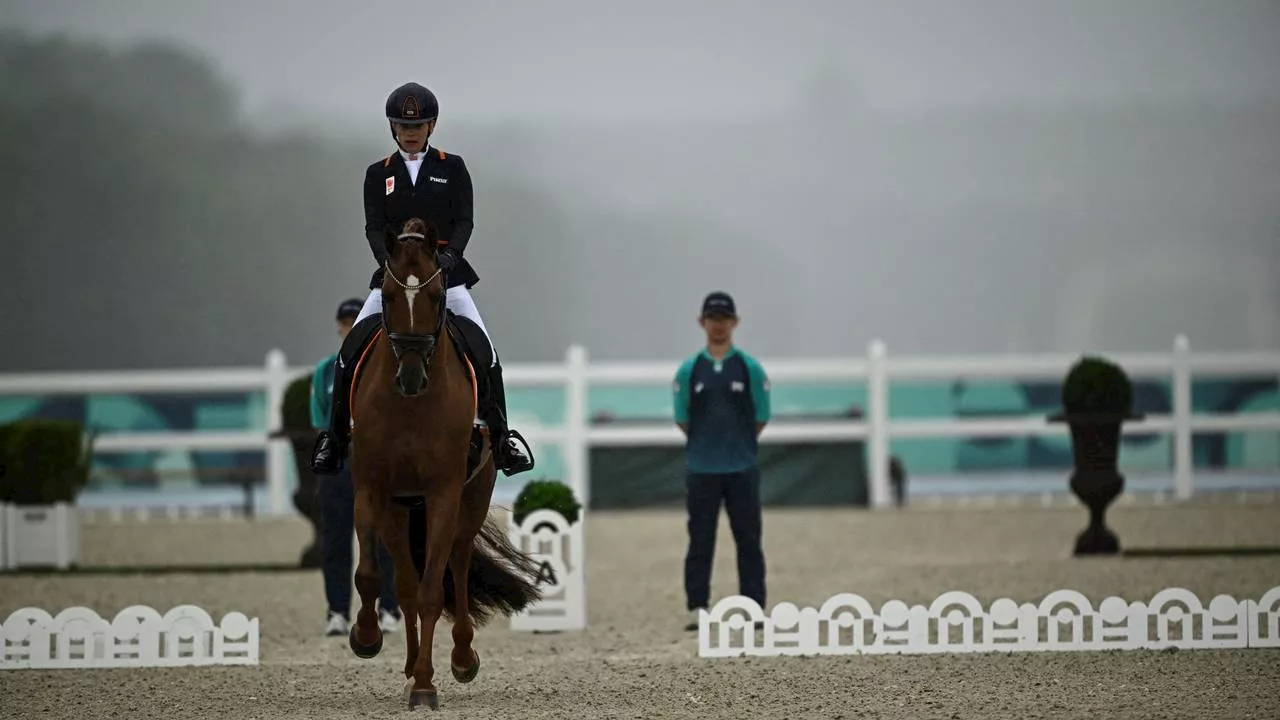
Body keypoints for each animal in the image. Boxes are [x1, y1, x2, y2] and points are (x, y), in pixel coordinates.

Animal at [345, 217, 540, 707]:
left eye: (436, 296)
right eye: (389, 295)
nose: (411, 376)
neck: (410, 406)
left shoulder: (443, 494)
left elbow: (435, 590)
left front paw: (427, 685)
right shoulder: (371, 489)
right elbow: (370, 576)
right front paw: (366, 638)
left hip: (469, 501)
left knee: (457, 562)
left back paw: (461, 659)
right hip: (399, 510)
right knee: (406, 586)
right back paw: (410, 665)